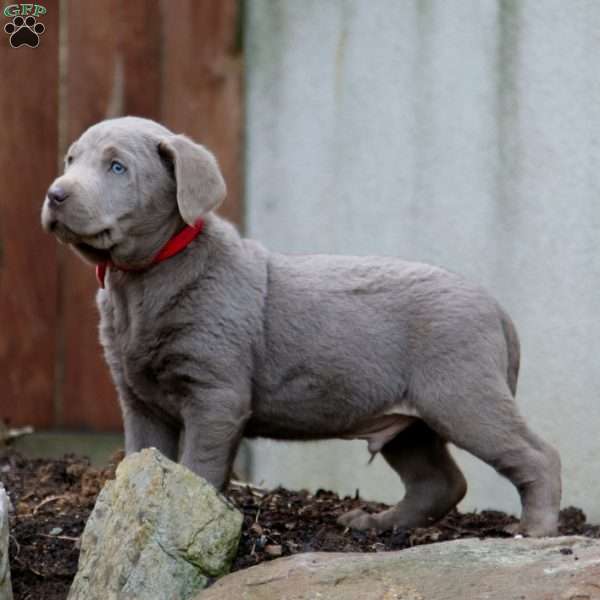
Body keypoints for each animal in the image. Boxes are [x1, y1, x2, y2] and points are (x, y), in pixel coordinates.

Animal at [42, 116, 564, 536]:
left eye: (117, 167)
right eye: (71, 158)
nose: (55, 193)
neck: (142, 281)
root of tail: (497, 307)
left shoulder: (216, 394)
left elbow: (199, 466)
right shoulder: (140, 401)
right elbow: (142, 458)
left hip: (463, 394)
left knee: (537, 455)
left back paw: (534, 531)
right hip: (410, 421)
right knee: (439, 481)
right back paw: (378, 524)